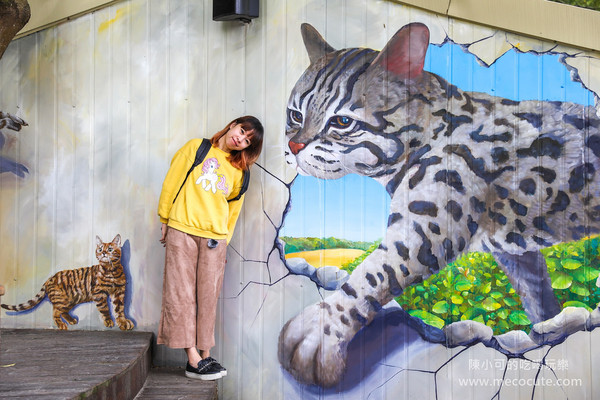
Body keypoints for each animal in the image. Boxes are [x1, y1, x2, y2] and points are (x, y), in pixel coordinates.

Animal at [1, 233, 134, 330]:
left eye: (110, 249)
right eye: (100, 249)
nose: (104, 253)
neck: (112, 270)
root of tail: (49, 279)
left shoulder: (119, 292)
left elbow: (119, 310)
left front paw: (123, 322)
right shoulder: (99, 293)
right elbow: (105, 309)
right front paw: (108, 321)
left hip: (71, 299)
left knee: (62, 311)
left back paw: (71, 320)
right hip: (62, 299)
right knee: (55, 311)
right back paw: (61, 325)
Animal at [278, 22, 600, 388]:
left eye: (342, 122)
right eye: (295, 115)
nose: (293, 145)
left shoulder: (427, 228)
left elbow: (371, 275)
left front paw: (320, 331)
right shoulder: (515, 253)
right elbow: (538, 295)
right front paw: (549, 326)